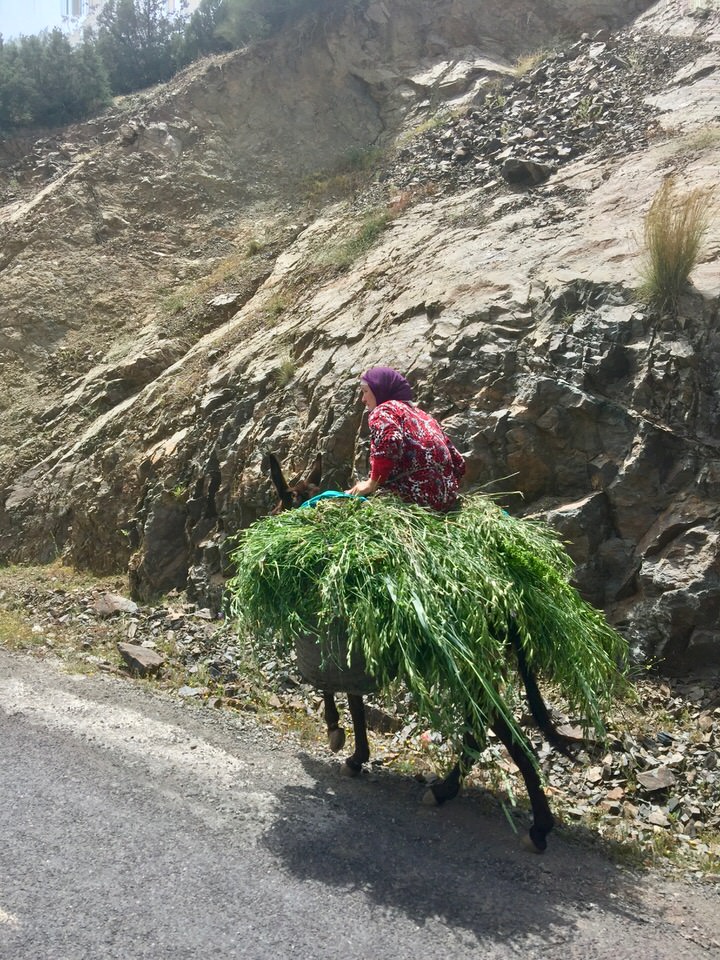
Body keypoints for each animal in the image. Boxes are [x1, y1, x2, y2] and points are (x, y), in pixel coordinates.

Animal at [265, 452, 578, 852]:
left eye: (279, 506)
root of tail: (504, 593)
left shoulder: (336, 637)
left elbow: (333, 689)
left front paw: (338, 733)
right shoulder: (352, 647)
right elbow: (351, 697)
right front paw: (356, 755)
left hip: (467, 665)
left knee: (503, 734)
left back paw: (537, 827)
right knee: (480, 730)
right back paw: (447, 791)